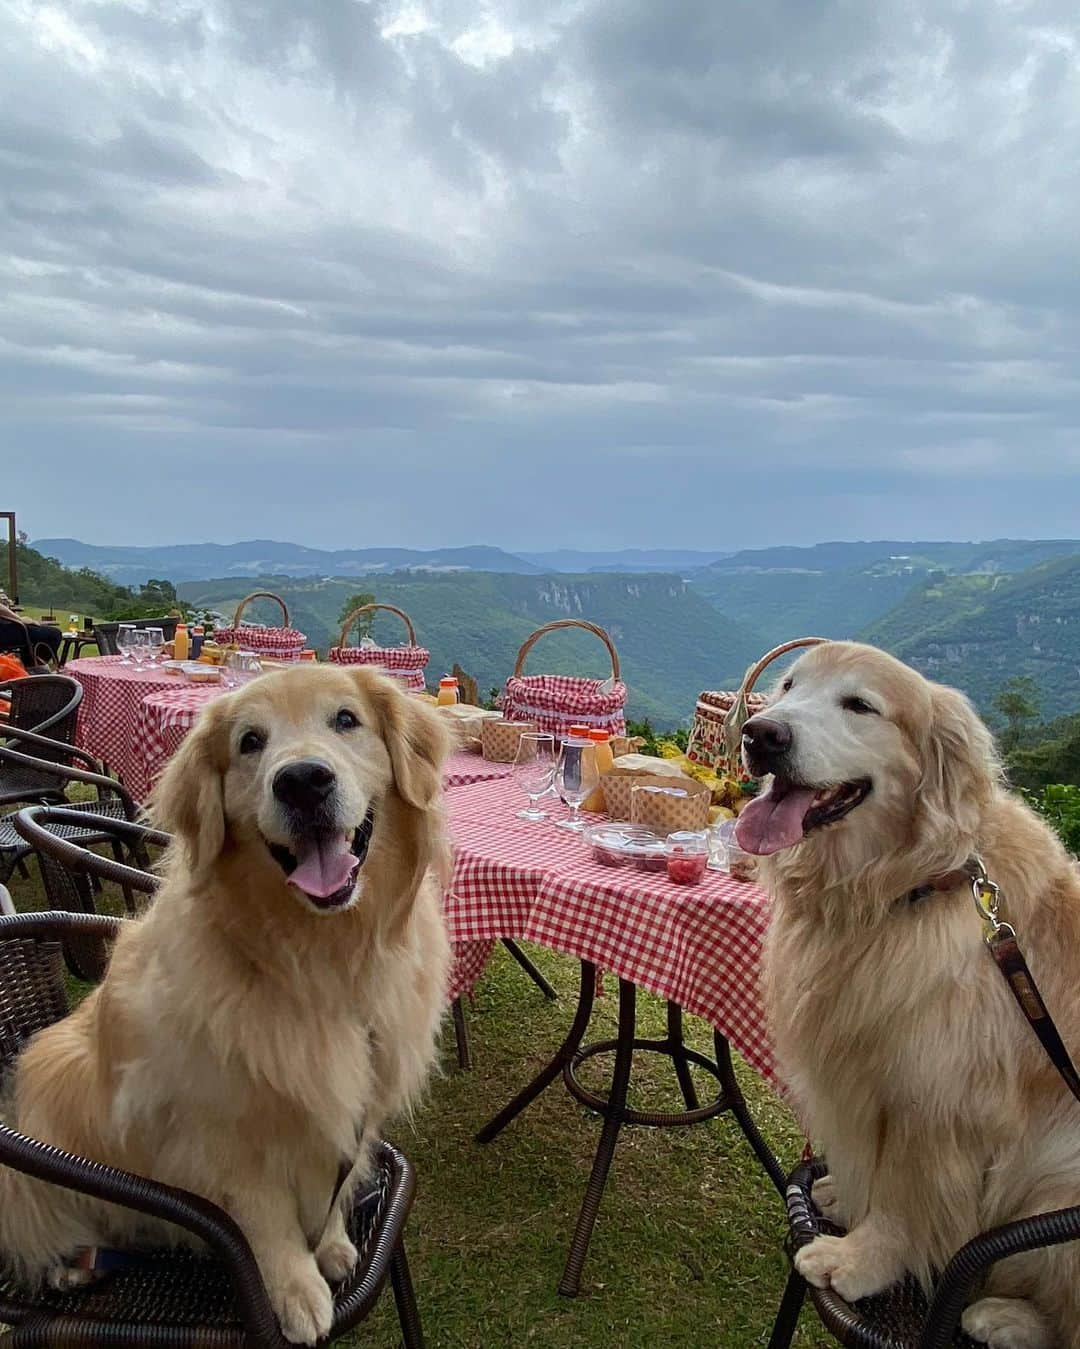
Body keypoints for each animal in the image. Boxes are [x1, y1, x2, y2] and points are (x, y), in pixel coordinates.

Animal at [0, 661, 450, 1338]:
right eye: (249, 742)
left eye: (346, 719)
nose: (303, 781)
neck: (322, 961)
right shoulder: (222, 1126)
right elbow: (265, 1218)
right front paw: (295, 1288)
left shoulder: (350, 1101)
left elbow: (331, 1182)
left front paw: (334, 1244)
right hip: (56, 1070)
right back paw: (72, 1265)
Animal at [738, 642, 1078, 1349]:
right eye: (787, 687)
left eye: (860, 704)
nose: (761, 734)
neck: (911, 884)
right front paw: (843, 1199)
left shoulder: (941, 1101)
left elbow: (906, 1196)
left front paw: (859, 1260)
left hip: (1059, 1181)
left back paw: (1004, 1317)